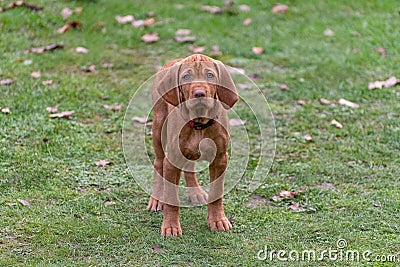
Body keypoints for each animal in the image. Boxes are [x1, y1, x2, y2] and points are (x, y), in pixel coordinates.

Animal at [148, 54, 239, 237]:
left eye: (210, 75)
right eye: (186, 77)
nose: (199, 93)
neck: (199, 124)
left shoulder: (220, 159)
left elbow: (217, 193)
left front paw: (217, 220)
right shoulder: (171, 161)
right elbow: (171, 198)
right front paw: (171, 226)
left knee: (189, 166)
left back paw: (195, 192)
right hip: (158, 127)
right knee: (158, 162)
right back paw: (156, 198)